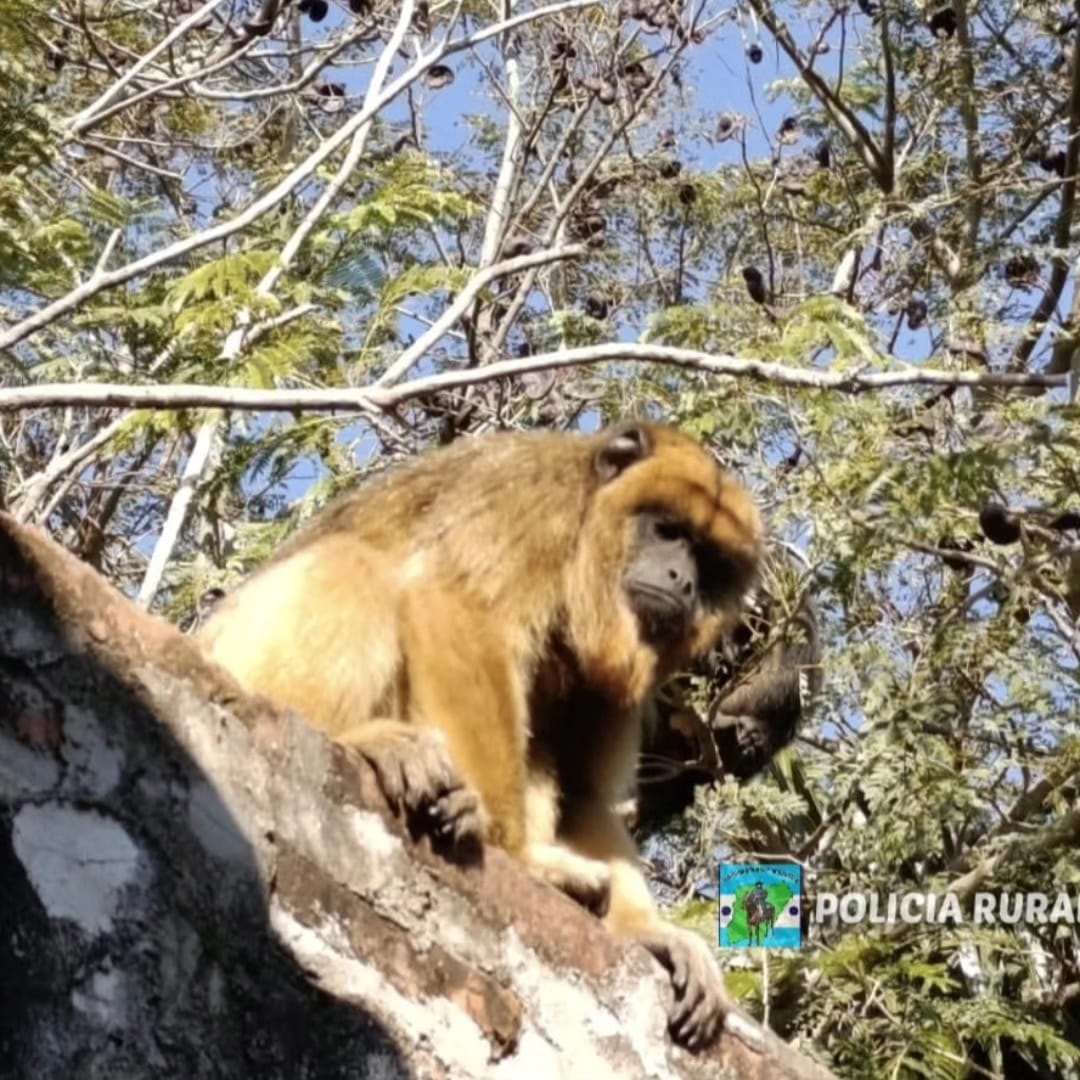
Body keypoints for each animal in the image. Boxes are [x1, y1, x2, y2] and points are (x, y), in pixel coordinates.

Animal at [198, 421, 763, 1049]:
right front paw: (515, 857)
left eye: (711, 564)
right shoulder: (533, 500)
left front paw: (646, 932)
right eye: (668, 531)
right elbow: (460, 607)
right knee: (355, 565)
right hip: (235, 651)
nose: (683, 581)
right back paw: (368, 741)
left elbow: (586, 790)